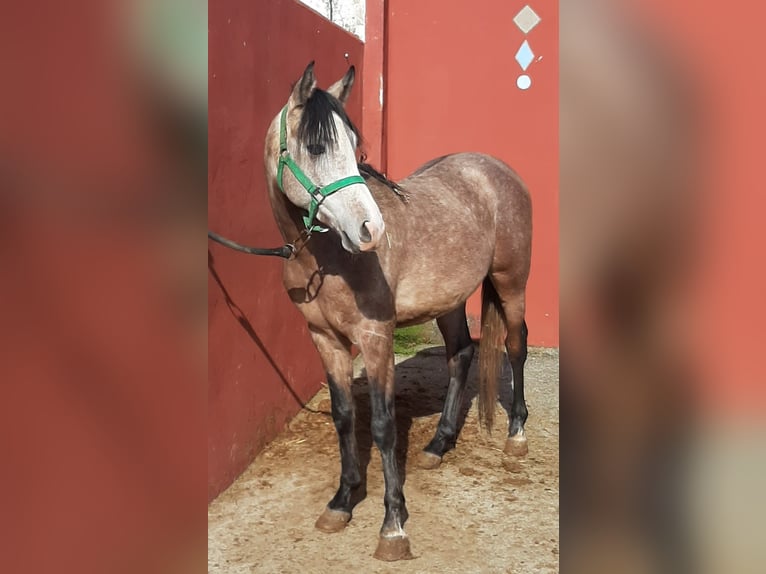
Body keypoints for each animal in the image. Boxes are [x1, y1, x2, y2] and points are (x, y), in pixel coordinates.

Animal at [263, 62, 532, 561]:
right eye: (316, 147)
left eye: (356, 149)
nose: (371, 230)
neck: (327, 258)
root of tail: (494, 168)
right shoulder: (325, 339)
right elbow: (344, 416)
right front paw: (342, 501)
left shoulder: (375, 338)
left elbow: (384, 424)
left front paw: (393, 527)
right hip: (450, 299)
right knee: (461, 355)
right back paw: (438, 444)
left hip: (511, 283)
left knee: (517, 347)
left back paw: (516, 436)